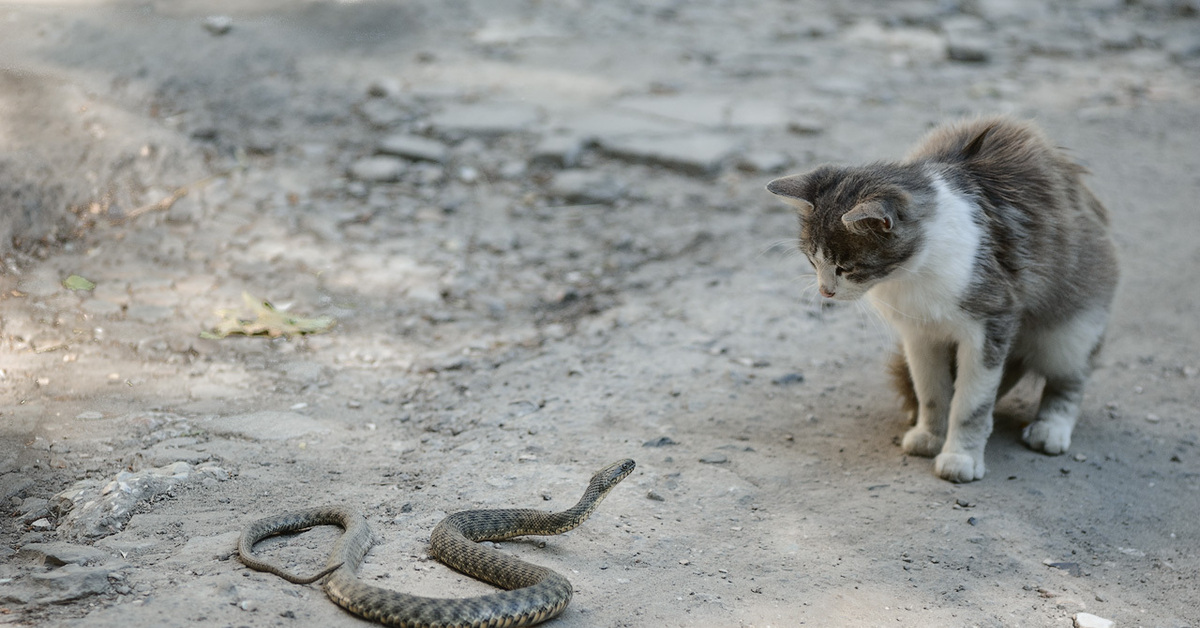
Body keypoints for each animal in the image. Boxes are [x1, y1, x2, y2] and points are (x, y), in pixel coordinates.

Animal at [763, 116, 1118, 482]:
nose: (825, 291)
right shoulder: (920, 334)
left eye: (846, 268)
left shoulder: (990, 325)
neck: (910, 274)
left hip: (1070, 328)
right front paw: (930, 435)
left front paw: (961, 456)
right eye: (812, 261)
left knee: (1070, 378)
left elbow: (971, 405)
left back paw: (1051, 427)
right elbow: (932, 392)